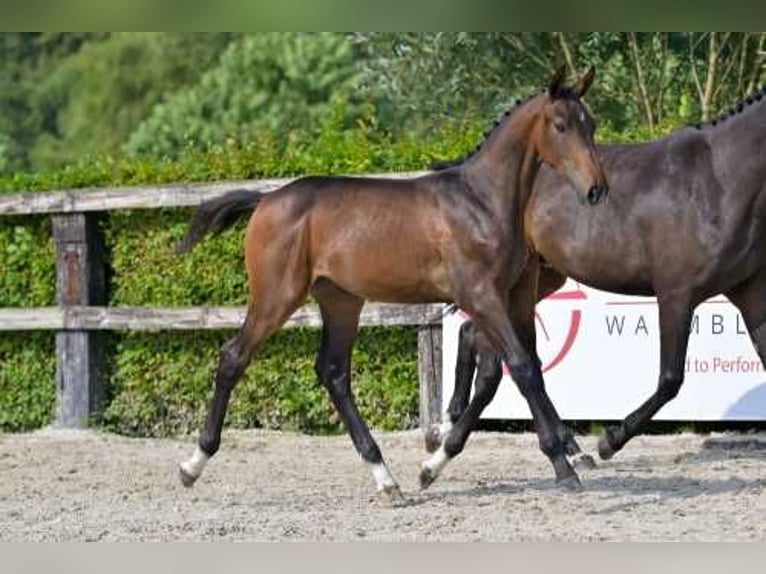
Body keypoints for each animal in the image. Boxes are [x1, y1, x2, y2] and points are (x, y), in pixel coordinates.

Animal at [177, 67, 608, 504]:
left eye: (590, 124)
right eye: (560, 125)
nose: (597, 189)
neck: (482, 202)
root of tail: (265, 200)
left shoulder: (516, 296)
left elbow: (523, 368)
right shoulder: (481, 295)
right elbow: (521, 368)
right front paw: (563, 466)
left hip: (342, 301)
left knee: (333, 372)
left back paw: (386, 478)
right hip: (276, 296)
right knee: (234, 357)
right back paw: (192, 464)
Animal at [424, 85, 766, 490]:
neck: (719, 180)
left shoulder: (749, 294)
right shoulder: (676, 294)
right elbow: (670, 379)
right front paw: (609, 441)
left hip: (536, 280)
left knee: (476, 339)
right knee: (492, 363)